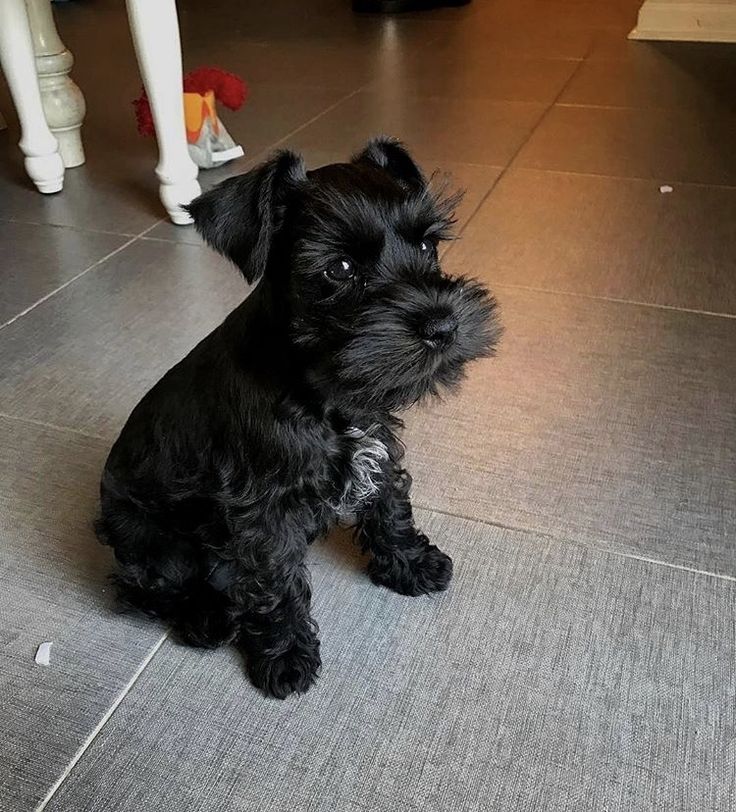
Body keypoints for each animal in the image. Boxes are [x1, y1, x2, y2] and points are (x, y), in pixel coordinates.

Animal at [98, 136, 500, 696]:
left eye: (426, 246)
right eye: (340, 269)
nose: (443, 326)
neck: (320, 387)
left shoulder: (378, 444)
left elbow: (390, 506)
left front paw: (411, 564)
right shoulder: (265, 511)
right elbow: (276, 583)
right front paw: (285, 655)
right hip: (158, 543)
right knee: (140, 588)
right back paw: (208, 617)